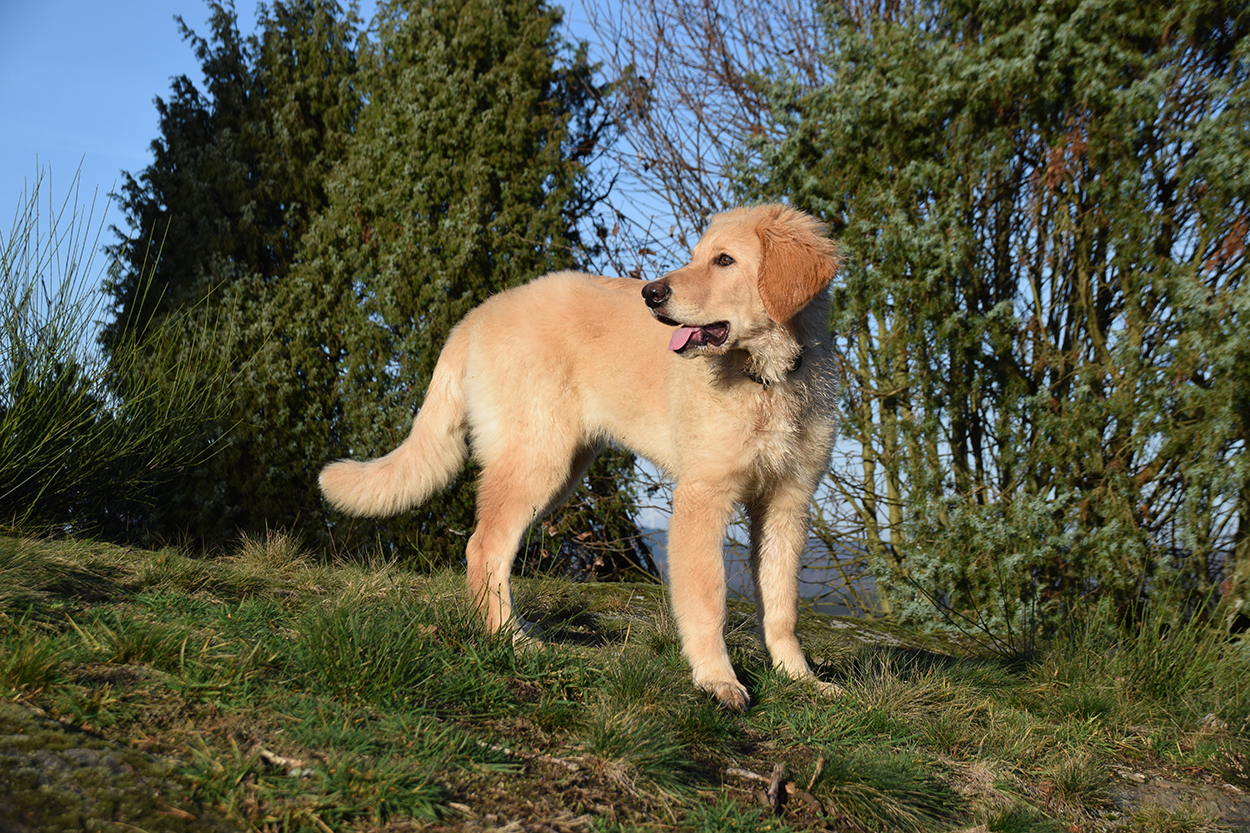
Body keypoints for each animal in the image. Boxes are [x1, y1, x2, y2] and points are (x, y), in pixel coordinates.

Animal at [319, 203, 841, 710]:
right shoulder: (703, 495)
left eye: (725, 260)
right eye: (697, 256)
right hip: (536, 461)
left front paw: (800, 679)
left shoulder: (787, 504)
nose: (651, 293)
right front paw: (716, 680)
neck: (769, 380)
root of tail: (479, 313)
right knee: (484, 547)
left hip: (560, 469)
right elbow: (708, 598)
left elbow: (782, 605)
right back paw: (512, 640)